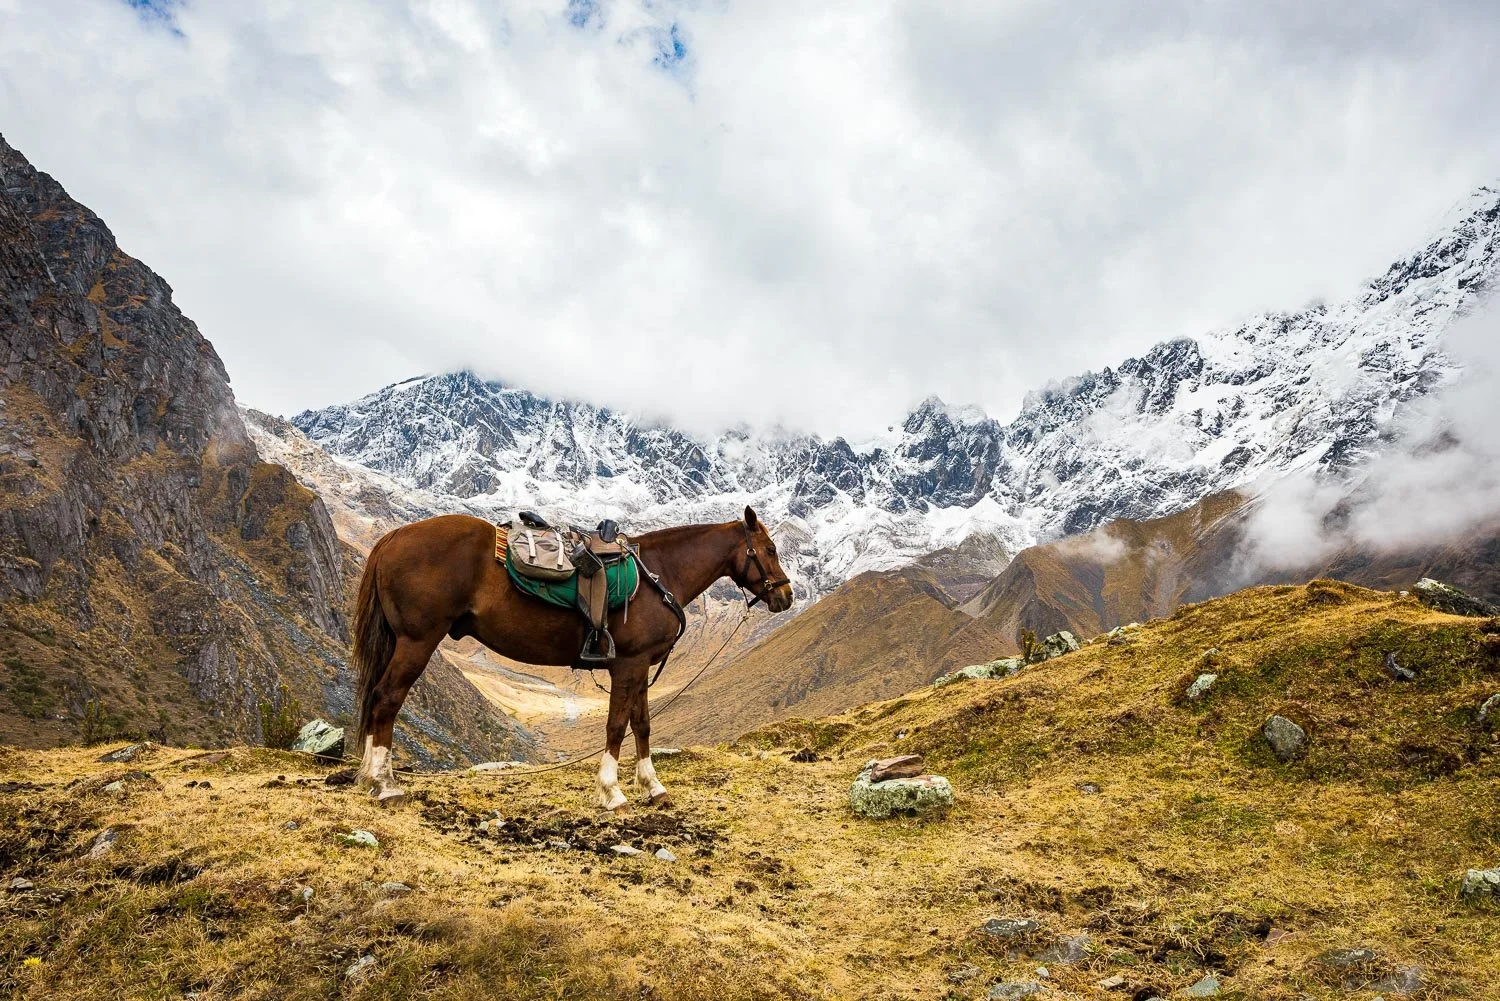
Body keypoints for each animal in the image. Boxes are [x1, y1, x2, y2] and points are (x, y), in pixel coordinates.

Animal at [350, 506, 794, 809]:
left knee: (376, 697)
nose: (786, 596)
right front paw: (612, 792)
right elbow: (616, 726)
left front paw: (652, 786)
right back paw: (384, 784)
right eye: (769, 549)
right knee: (386, 698)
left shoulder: (639, 667)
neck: (659, 575)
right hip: (416, 641)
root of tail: (393, 537)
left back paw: (369, 777)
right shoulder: (628, 664)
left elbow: (642, 725)